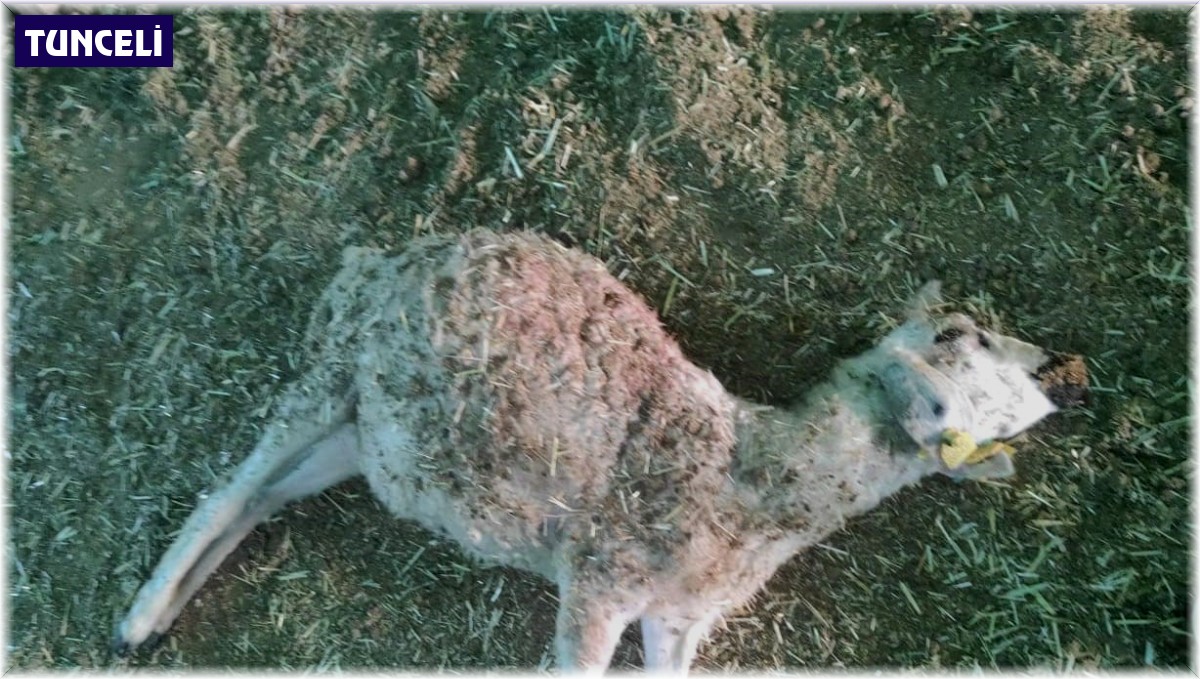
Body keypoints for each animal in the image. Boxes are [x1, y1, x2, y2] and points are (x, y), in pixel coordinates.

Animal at [112, 230, 1089, 676]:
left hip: (371, 441)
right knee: (227, 487)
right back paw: (139, 616)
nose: (1058, 366)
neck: (748, 478)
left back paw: (167, 614)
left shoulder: (676, 616)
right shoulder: (601, 578)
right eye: (958, 333)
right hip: (335, 368)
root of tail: (386, 256)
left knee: (267, 497)